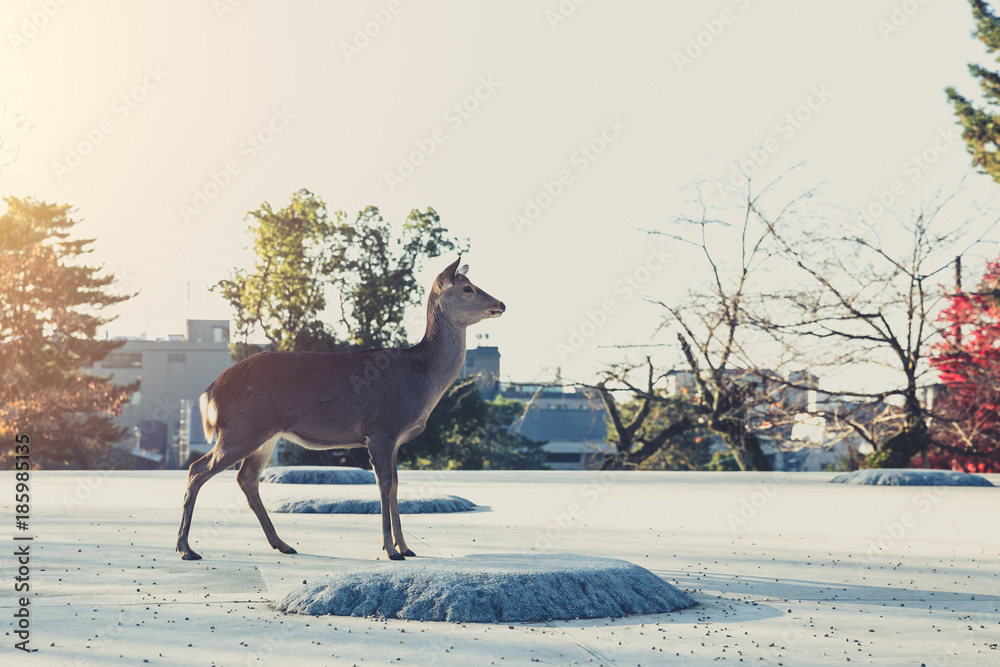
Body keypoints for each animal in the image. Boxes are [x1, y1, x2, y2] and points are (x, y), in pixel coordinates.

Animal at [174, 258, 508, 560]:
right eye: (468, 288)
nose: (501, 304)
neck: (422, 379)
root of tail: (209, 392)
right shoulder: (382, 430)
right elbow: (385, 485)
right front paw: (391, 550)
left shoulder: (395, 439)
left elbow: (396, 486)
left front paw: (406, 547)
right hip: (241, 429)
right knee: (197, 469)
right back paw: (186, 548)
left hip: (264, 434)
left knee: (246, 478)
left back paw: (282, 544)